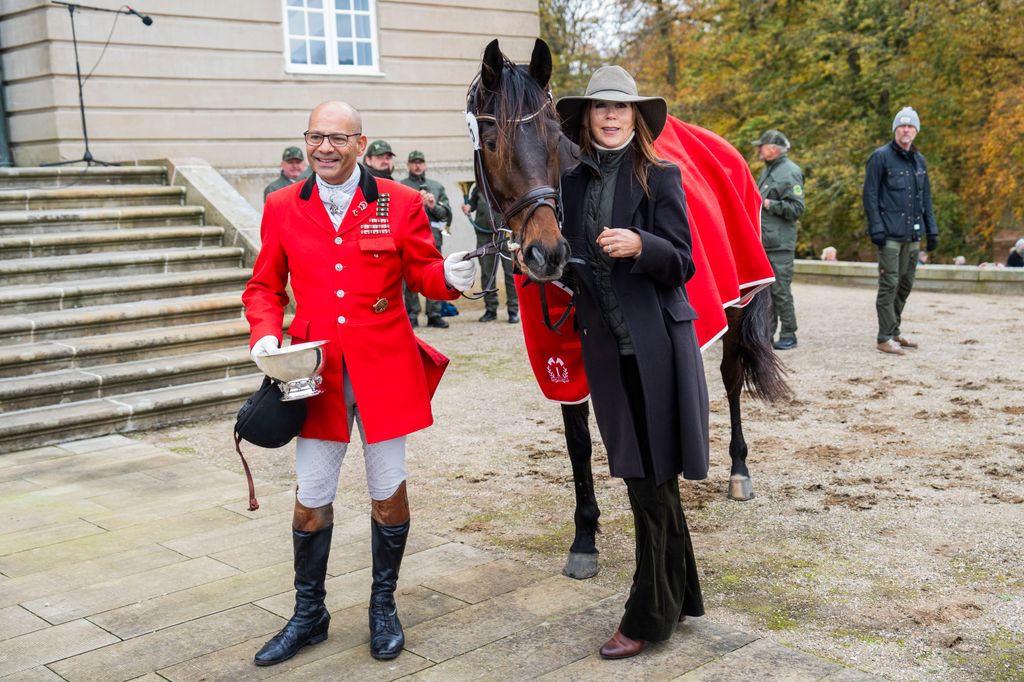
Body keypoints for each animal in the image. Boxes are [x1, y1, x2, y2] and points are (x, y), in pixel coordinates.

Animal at [464, 38, 790, 577]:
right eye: (490, 140)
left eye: (553, 134)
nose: (546, 253)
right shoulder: (561, 352)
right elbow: (578, 440)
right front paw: (584, 537)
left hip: (739, 302)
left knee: (730, 376)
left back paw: (738, 469)